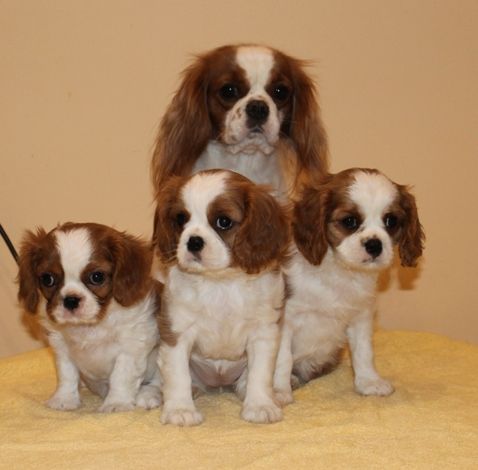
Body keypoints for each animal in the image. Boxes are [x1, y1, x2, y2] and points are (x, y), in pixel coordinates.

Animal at [17, 222, 162, 413]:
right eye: (48, 279)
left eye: (97, 277)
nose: (71, 300)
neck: (90, 325)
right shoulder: (62, 347)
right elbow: (67, 375)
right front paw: (64, 399)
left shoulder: (132, 345)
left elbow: (122, 376)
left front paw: (116, 403)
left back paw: (148, 395)